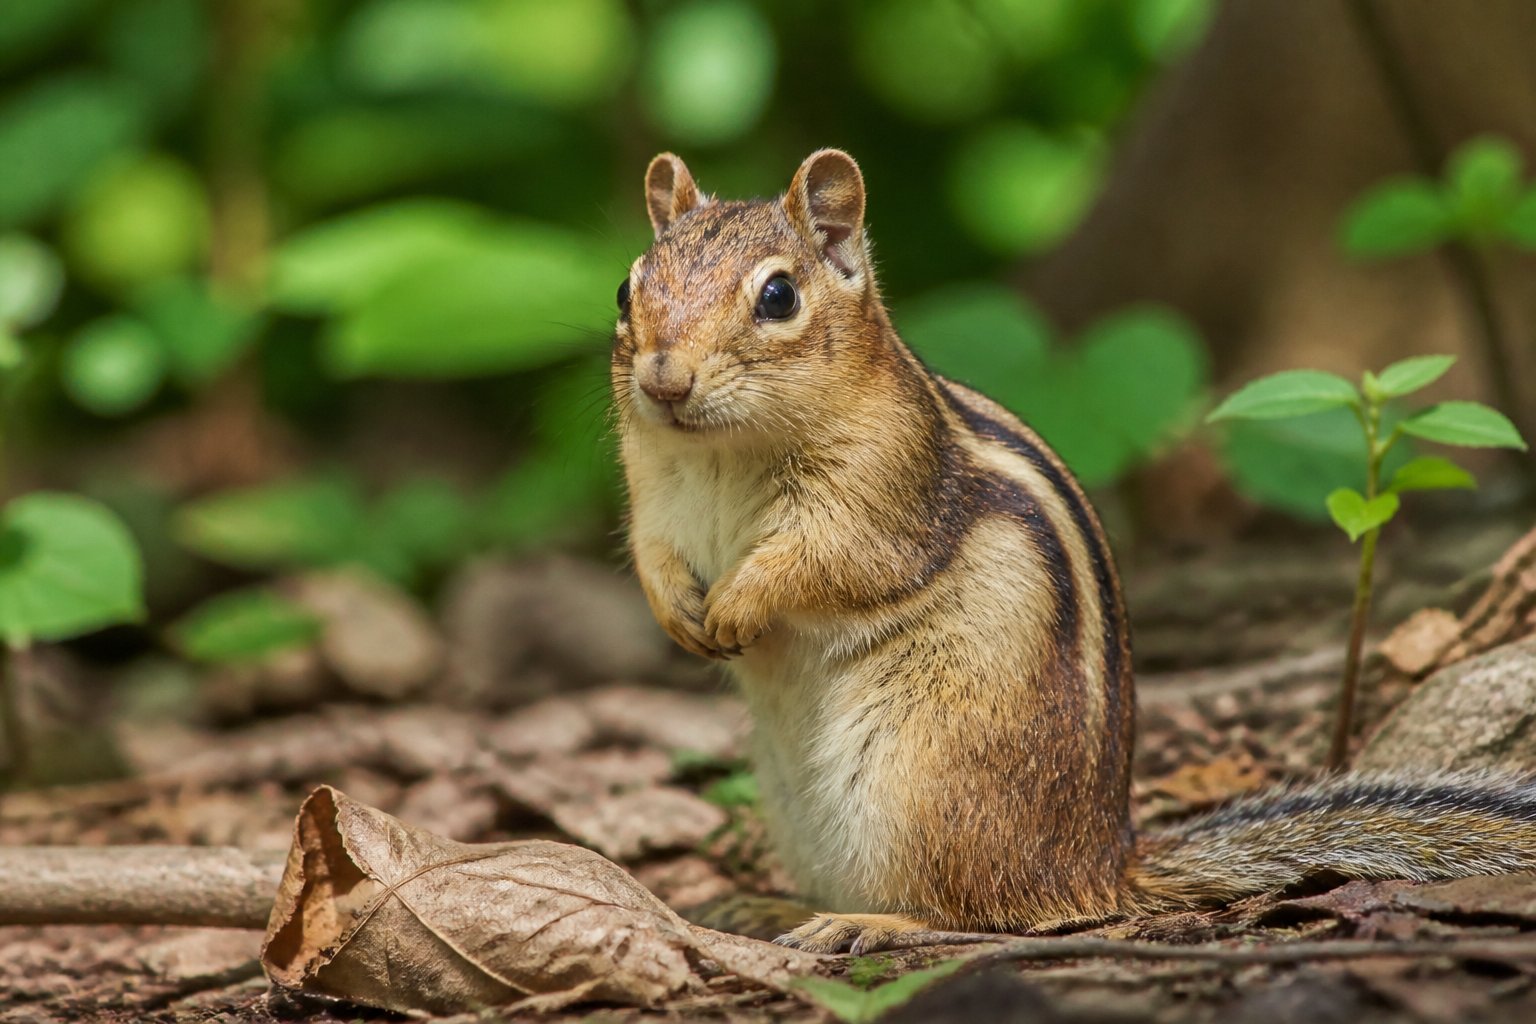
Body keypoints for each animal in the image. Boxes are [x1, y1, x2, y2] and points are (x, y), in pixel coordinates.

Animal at [611, 148, 1536, 955]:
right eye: (627, 288)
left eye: (777, 296)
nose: (663, 379)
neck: (722, 455)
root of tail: (1101, 862)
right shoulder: (653, 492)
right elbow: (652, 552)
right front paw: (678, 611)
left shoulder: (884, 493)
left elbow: (827, 561)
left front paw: (738, 600)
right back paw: (769, 901)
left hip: (918, 777)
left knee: (981, 912)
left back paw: (869, 922)